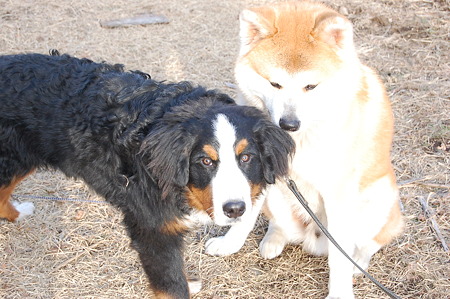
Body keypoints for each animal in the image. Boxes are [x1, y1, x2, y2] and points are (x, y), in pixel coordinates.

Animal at [206, 1, 406, 298]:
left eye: (311, 86)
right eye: (274, 83)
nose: (289, 123)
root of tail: (313, 239)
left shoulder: (338, 192)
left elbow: (339, 258)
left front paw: (340, 292)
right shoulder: (259, 168)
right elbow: (246, 217)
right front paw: (229, 244)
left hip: (378, 199)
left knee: (367, 244)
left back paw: (358, 264)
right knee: (279, 224)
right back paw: (273, 240)